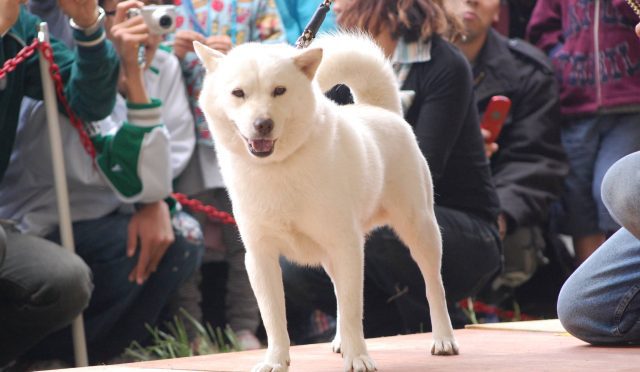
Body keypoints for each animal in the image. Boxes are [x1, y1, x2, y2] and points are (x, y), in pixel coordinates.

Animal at [192, 32, 458, 372]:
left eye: (279, 90)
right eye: (238, 93)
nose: (263, 124)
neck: (279, 168)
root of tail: (381, 110)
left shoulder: (347, 246)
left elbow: (354, 310)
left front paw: (359, 358)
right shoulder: (260, 256)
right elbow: (274, 318)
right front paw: (275, 361)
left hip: (419, 230)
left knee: (433, 286)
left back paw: (443, 339)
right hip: (330, 256)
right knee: (338, 296)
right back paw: (340, 342)